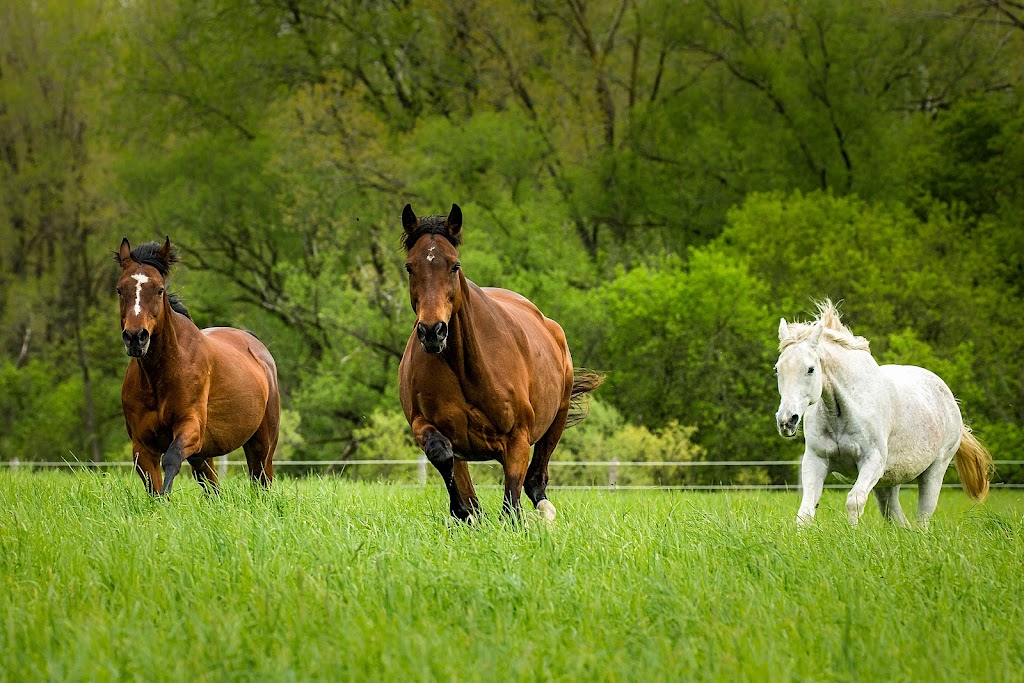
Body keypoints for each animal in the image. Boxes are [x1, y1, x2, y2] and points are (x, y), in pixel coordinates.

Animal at [115, 237, 280, 493]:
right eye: (120, 289)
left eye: (159, 289)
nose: (135, 337)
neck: (158, 377)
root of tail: (256, 346)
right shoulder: (142, 446)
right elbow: (154, 488)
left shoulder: (190, 426)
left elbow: (172, 459)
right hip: (205, 455)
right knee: (213, 488)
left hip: (262, 444)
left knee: (261, 480)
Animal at [397, 205, 602, 520]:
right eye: (410, 266)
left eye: (454, 265)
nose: (432, 331)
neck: (466, 370)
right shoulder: (424, 424)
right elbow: (442, 456)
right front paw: (462, 512)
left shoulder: (517, 439)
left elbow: (511, 506)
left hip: (557, 418)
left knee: (535, 481)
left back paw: (546, 513)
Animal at [774, 301, 991, 528]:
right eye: (777, 369)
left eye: (810, 369)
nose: (787, 421)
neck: (841, 411)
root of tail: (949, 398)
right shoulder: (815, 460)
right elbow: (805, 512)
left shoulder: (872, 461)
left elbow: (854, 501)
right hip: (888, 481)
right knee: (898, 519)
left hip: (934, 471)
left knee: (923, 517)